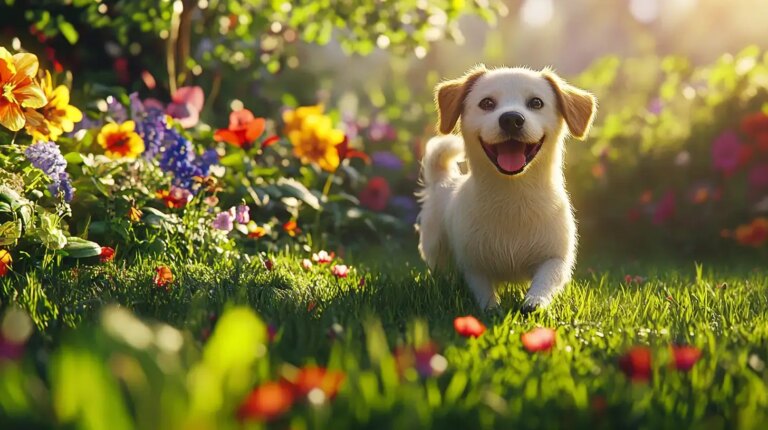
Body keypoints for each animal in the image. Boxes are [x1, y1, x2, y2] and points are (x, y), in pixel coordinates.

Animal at [416, 64, 596, 312]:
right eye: (487, 103)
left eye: (536, 103)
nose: (511, 119)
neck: (513, 196)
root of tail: (443, 180)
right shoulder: (473, 265)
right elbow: (482, 290)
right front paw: (492, 309)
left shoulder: (556, 258)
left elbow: (546, 279)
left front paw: (535, 301)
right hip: (436, 248)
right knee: (441, 271)